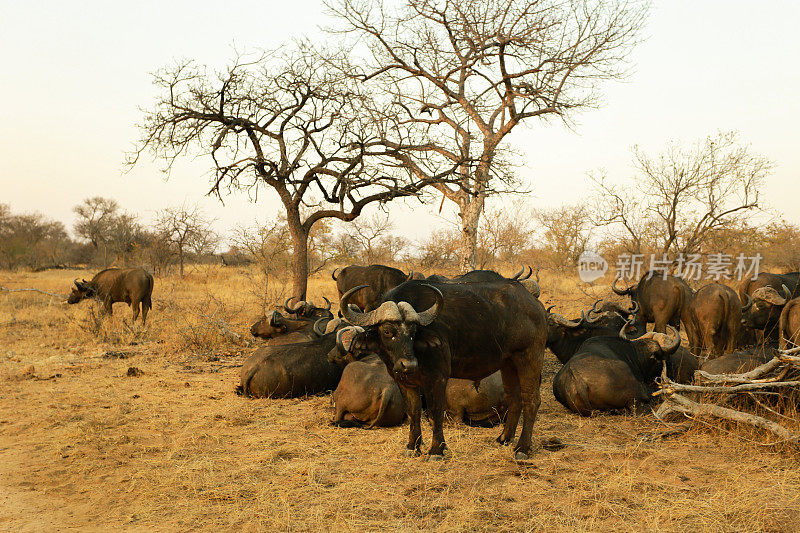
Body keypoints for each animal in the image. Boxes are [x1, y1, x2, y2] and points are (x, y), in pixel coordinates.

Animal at [340, 276, 548, 460]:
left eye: (414, 331)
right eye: (387, 331)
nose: (409, 364)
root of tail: (535, 306)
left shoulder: (437, 377)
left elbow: (435, 411)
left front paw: (436, 450)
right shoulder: (404, 381)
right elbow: (413, 411)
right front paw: (412, 447)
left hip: (530, 357)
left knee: (531, 400)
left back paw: (522, 448)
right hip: (509, 364)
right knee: (515, 399)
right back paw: (504, 438)